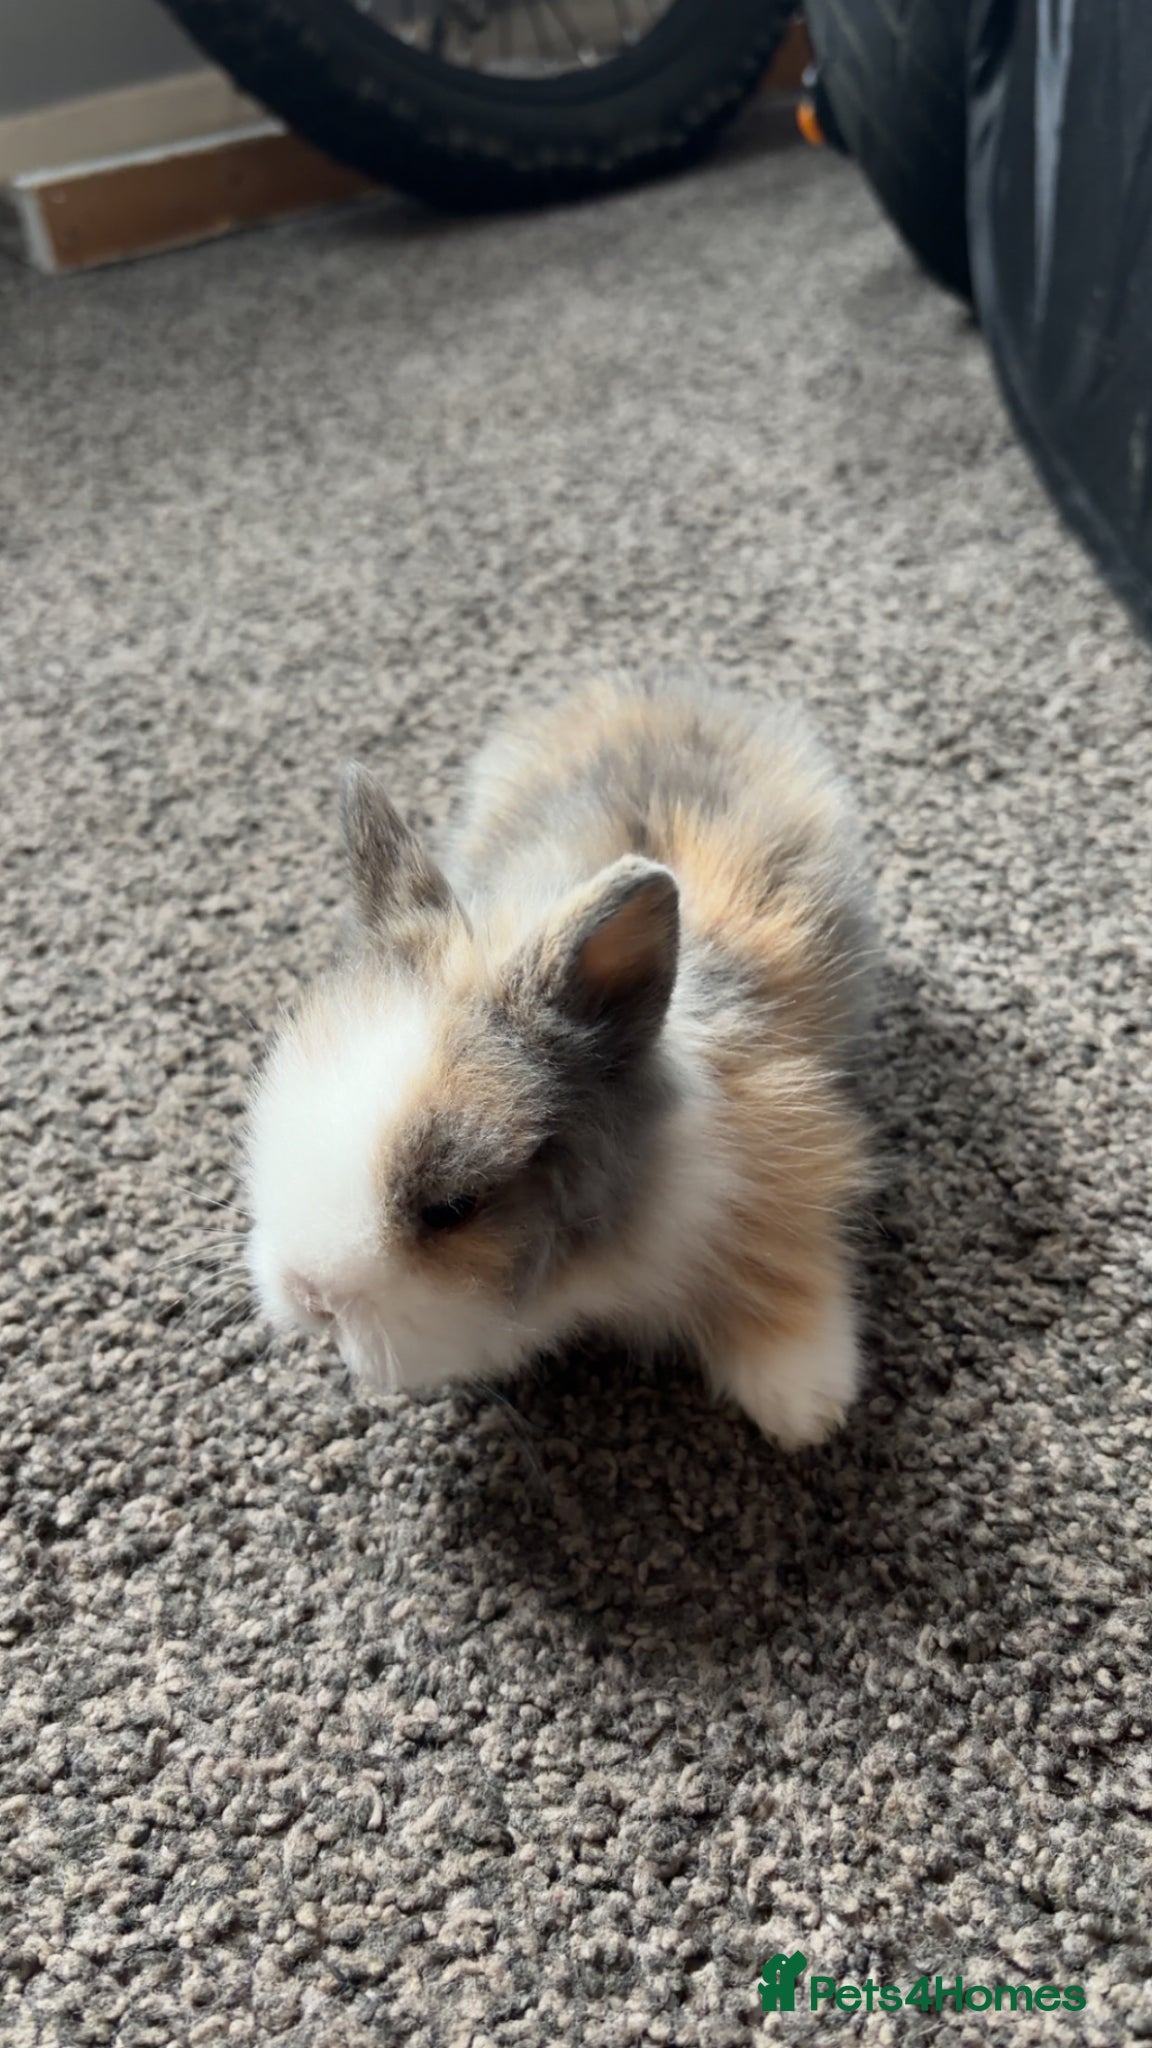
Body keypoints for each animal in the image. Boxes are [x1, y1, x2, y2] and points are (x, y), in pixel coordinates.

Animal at [245, 673, 877, 1449]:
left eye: (452, 1208)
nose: (311, 1297)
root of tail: (648, 692)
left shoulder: (782, 1145)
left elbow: (780, 1262)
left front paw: (806, 1407)